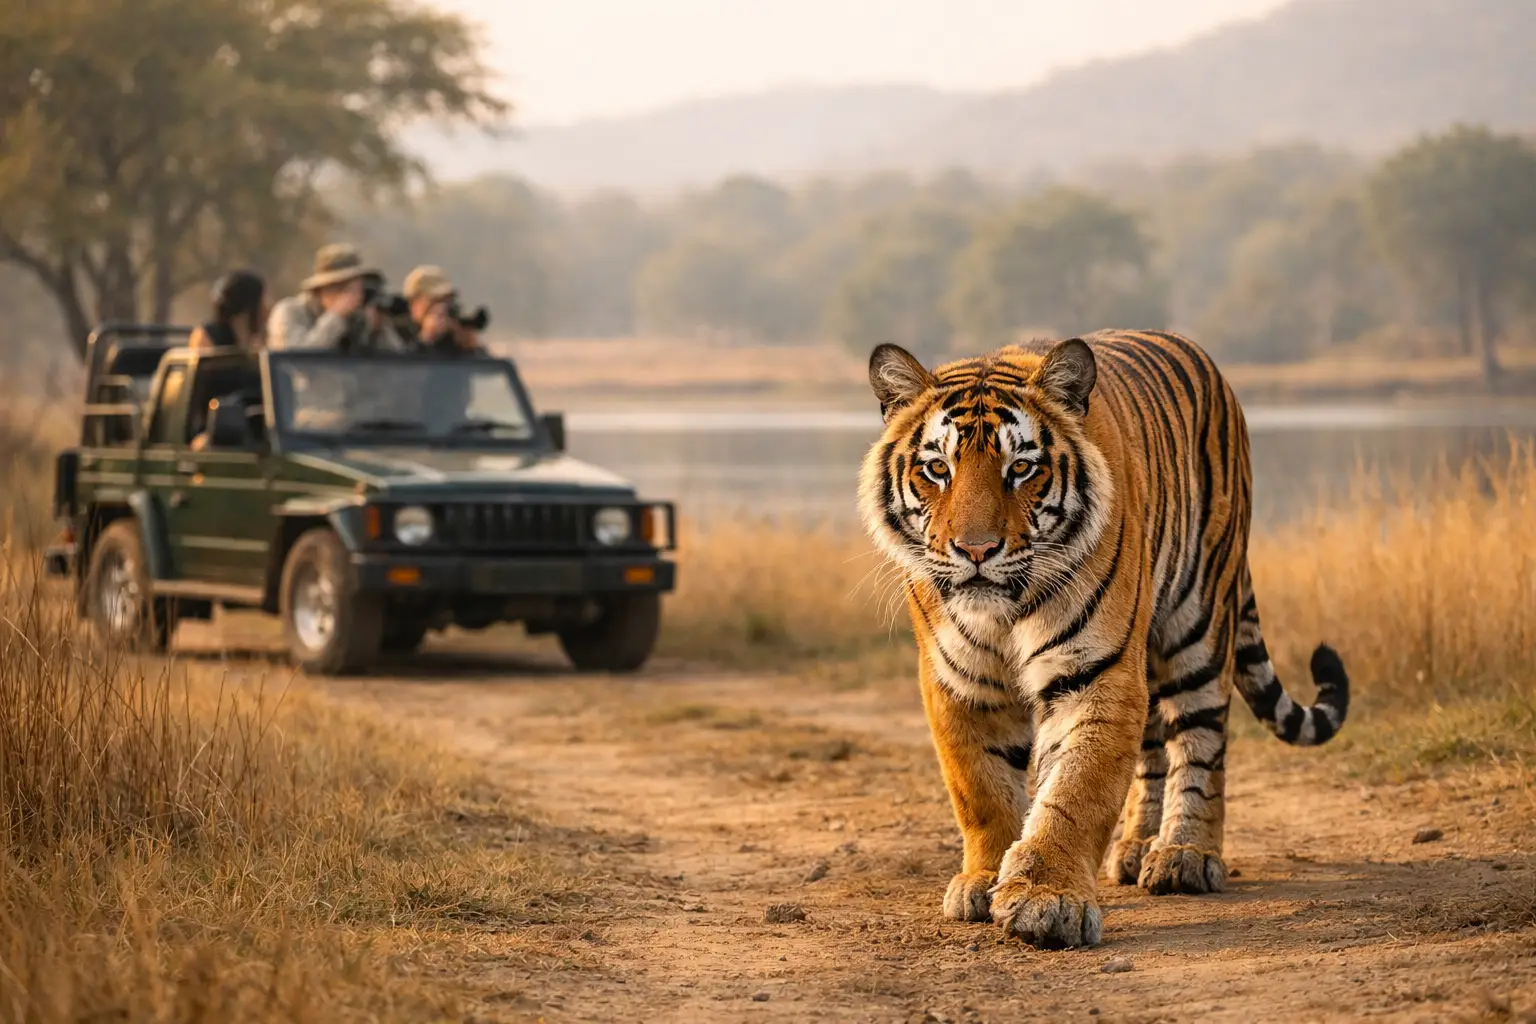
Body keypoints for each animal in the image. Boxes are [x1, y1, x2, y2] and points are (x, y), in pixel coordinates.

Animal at [859, 329, 1349, 949]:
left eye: (1022, 467)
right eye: (938, 468)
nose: (976, 550)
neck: (1004, 612)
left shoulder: (1095, 671)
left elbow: (1076, 790)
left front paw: (1047, 899)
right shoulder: (961, 682)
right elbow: (983, 789)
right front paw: (984, 879)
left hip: (1199, 620)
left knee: (1200, 742)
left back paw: (1184, 855)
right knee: (1153, 745)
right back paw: (1136, 847)